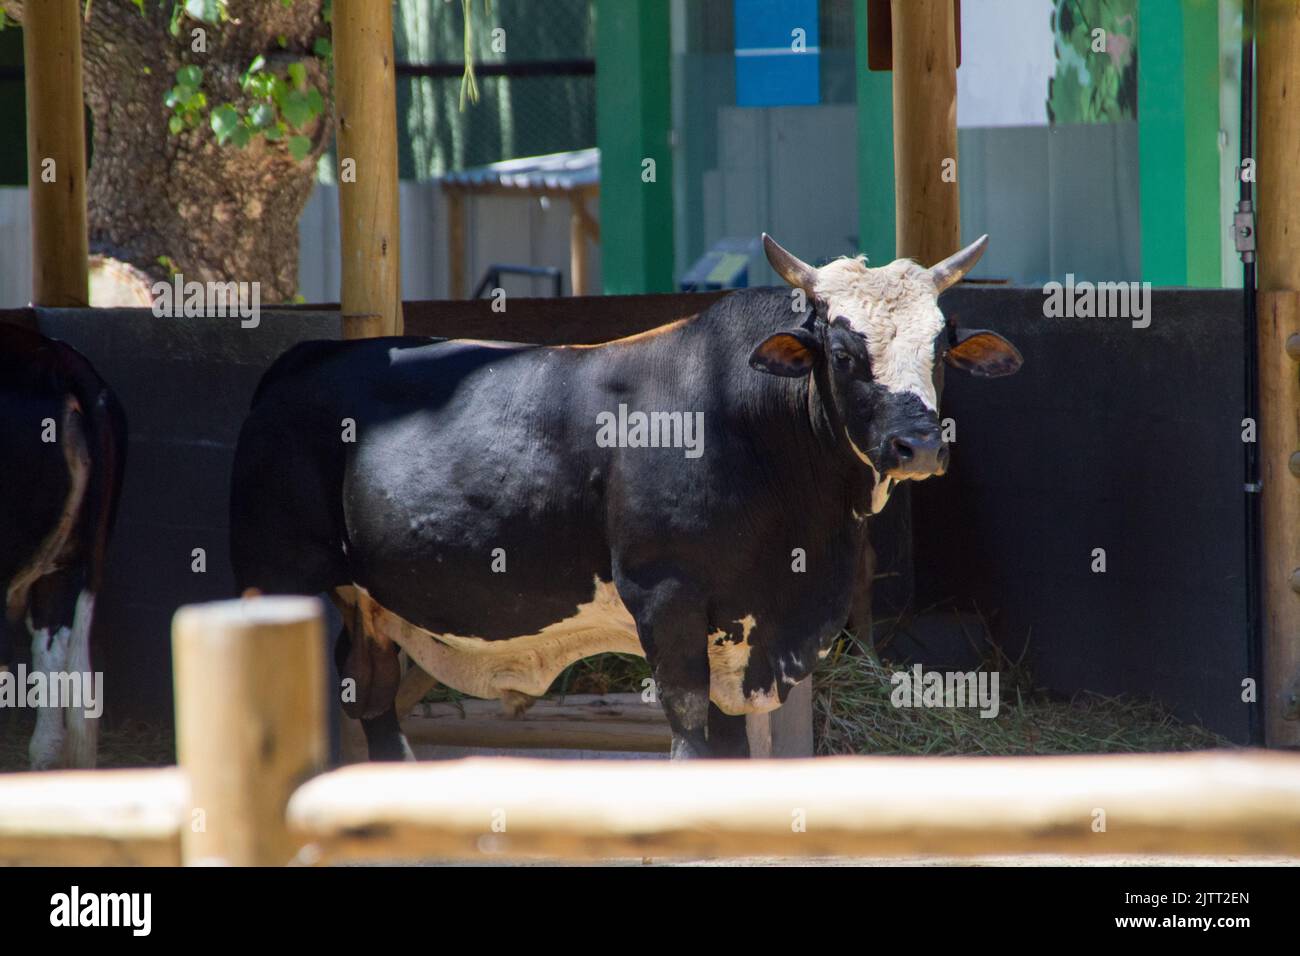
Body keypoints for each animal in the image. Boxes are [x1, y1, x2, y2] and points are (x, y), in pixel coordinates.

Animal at [236, 235, 1024, 759]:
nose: (919, 446)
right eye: (841, 351)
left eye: (941, 347)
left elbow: (733, 744)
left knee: (370, 698)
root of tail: (308, 354)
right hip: (281, 578)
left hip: (369, 605)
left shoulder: (745, 634)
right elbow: (690, 733)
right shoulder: (665, 598)